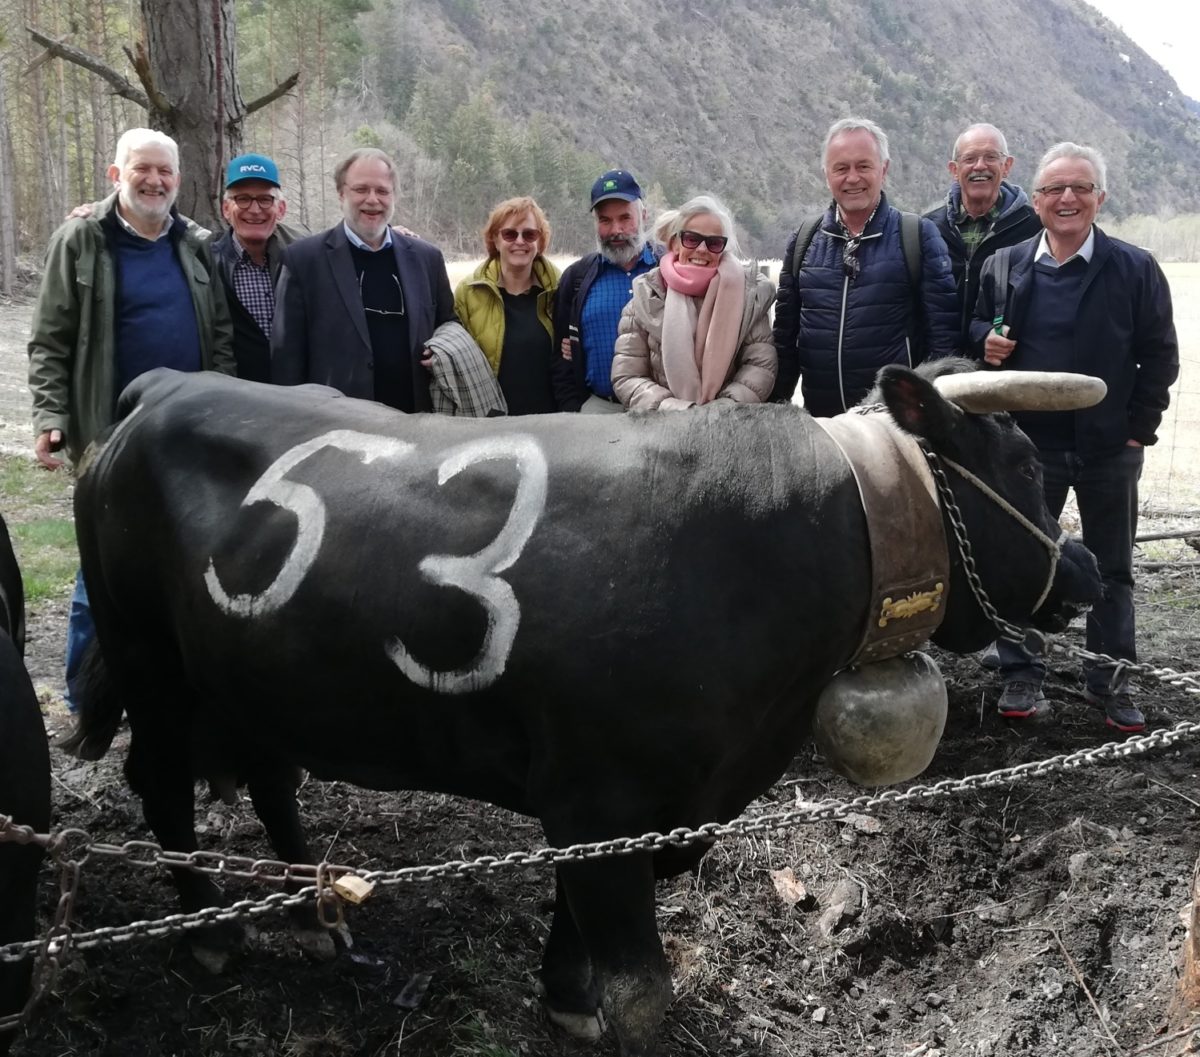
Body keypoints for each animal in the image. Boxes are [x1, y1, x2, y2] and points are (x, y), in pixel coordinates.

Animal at [65, 364, 1099, 1055]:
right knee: (160, 781)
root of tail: (162, 386)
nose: (1085, 570)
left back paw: (318, 915)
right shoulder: (599, 791)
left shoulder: (639, 801)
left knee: (272, 776)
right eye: (1022, 463)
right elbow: (640, 985)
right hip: (151, 663)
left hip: (253, 679)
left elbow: (576, 914)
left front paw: (563, 996)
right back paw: (211, 934)